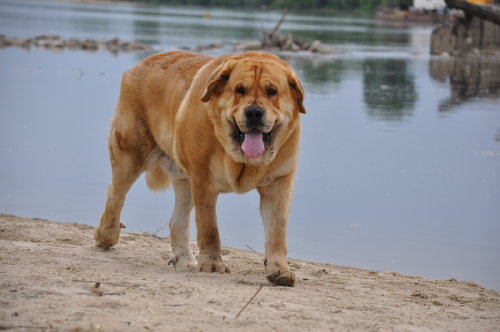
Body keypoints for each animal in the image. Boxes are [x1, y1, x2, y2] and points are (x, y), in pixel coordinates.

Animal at [94, 51, 304, 286]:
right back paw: (106, 235)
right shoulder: (204, 181)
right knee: (116, 194)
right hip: (130, 156)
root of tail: (140, 64)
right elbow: (209, 227)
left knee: (177, 222)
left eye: (272, 92)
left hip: (184, 180)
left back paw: (185, 260)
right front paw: (212, 263)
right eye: (240, 89)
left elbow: (277, 232)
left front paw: (279, 270)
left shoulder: (278, 185)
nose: (254, 112)